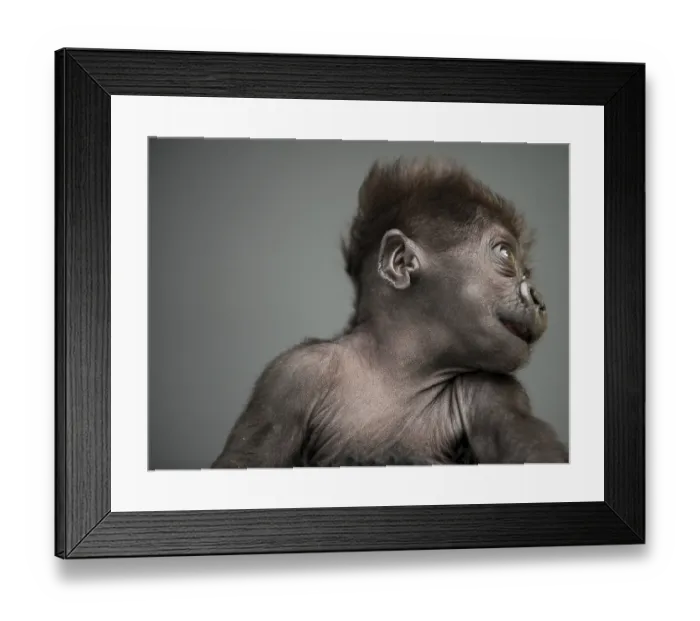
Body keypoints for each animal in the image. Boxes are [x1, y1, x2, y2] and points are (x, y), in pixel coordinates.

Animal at [212, 157, 569, 468]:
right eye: (505, 255)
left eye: (526, 270)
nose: (538, 298)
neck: (398, 365)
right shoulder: (290, 376)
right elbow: (246, 458)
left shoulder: (496, 391)